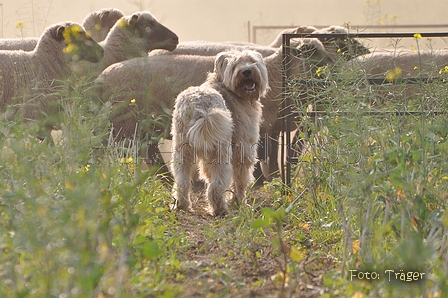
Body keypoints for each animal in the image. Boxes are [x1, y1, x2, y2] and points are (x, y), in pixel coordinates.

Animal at [93, 39, 332, 179]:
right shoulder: (263, 127)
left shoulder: (270, 127)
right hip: (125, 124)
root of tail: (102, 78)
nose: (332, 69)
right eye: (313, 51)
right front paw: (264, 181)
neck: (275, 72)